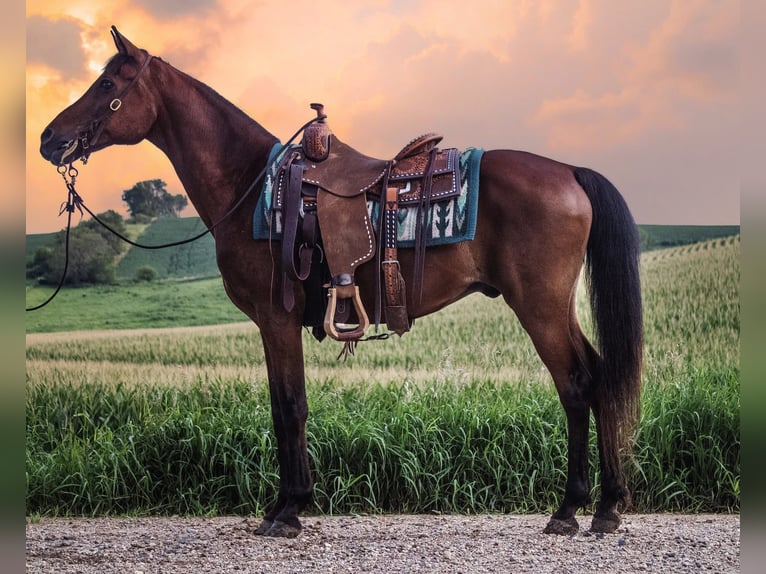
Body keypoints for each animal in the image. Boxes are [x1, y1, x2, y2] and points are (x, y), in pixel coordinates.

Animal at [39, 27, 643, 538]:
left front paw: (288, 510)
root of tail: (569, 171)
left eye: (108, 84)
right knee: (600, 376)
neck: (251, 184)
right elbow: (284, 406)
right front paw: (286, 505)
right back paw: (606, 506)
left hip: (539, 306)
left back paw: (571, 508)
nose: (49, 139)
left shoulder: (276, 318)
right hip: (556, 306)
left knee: (576, 384)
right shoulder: (276, 324)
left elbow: (289, 406)